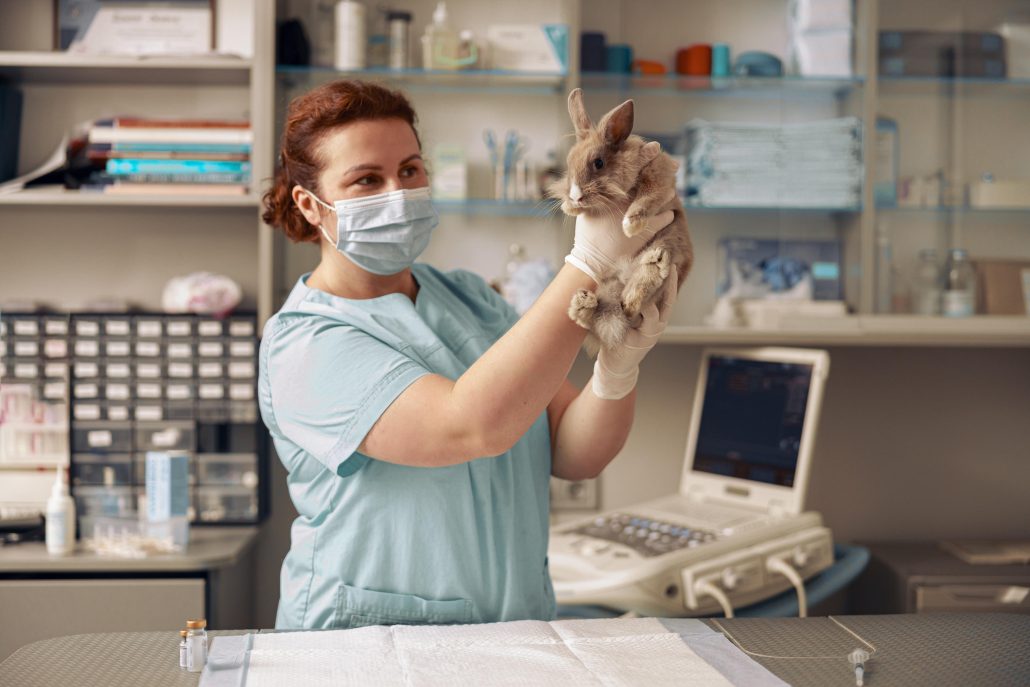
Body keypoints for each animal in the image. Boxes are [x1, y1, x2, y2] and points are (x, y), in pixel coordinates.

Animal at [547, 88, 692, 352]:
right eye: (569, 165)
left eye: (599, 163)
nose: (575, 196)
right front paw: (570, 208)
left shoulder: (659, 179)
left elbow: (648, 198)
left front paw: (631, 225)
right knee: (599, 319)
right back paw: (583, 305)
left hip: (671, 243)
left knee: (641, 290)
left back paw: (647, 274)